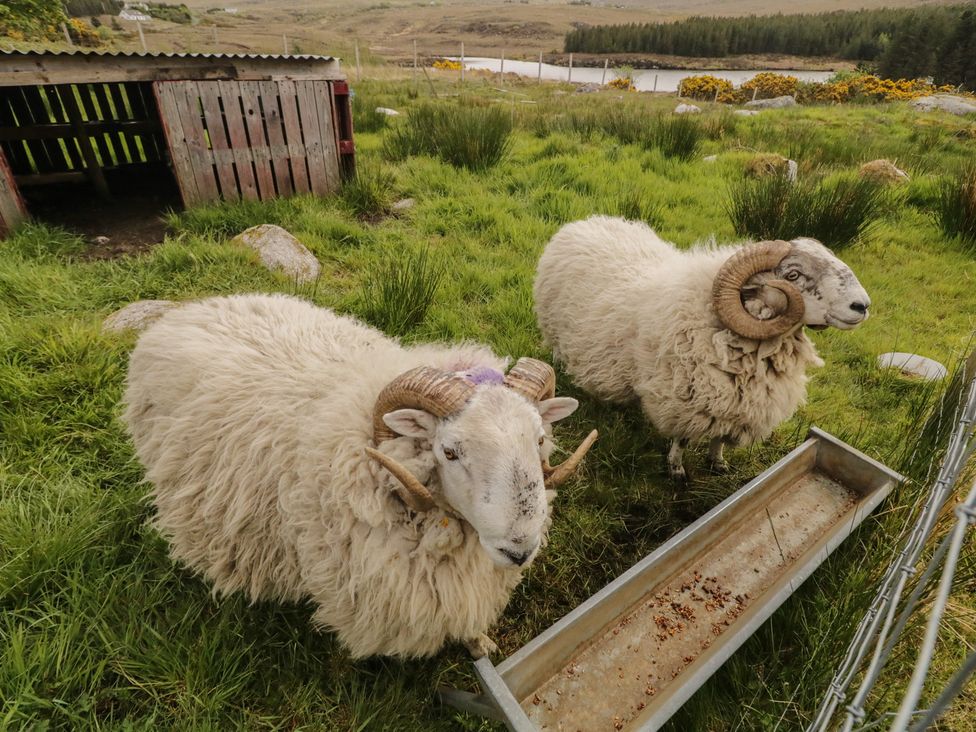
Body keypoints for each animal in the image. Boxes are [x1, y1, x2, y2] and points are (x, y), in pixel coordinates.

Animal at [533, 215, 870, 480]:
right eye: (793, 275)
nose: (863, 305)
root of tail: (583, 222)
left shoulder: (734, 406)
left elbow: (720, 439)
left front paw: (717, 463)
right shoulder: (685, 399)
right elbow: (681, 440)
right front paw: (677, 471)